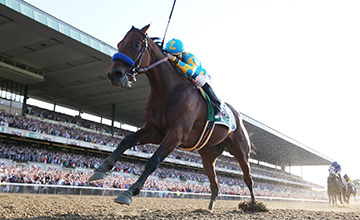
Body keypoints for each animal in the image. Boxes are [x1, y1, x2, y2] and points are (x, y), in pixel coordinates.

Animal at [88, 24, 255, 211]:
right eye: (119, 43)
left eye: (137, 44)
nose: (114, 74)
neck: (167, 91)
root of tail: (238, 116)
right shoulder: (155, 130)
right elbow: (126, 140)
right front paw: (101, 168)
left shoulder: (176, 134)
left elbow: (153, 160)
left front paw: (129, 192)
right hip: (208, 155)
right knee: (215, 184)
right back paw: (210, 207)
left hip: (241, 150)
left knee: (248, 178)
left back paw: (254, 206)